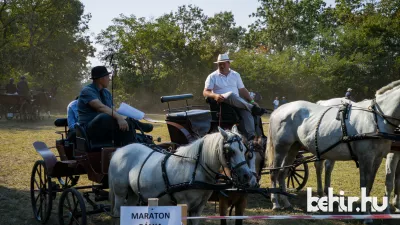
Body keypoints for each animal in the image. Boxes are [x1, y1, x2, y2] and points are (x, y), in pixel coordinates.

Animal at [108, 125, 258, 224]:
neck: (195, 172)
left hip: (133, 193)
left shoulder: (198, 209)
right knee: (117, 211)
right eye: (230, 151)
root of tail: (120, 150)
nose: (247, 176)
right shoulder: (182, 204)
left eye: (244, 150)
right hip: (120, 193)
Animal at [268, 80, 400, 221]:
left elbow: (371, 184)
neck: (377, 120)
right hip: (280, 148)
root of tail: (279, 109)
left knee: (284, 172)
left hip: (293, 147)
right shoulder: (366, 158)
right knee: (274, 172)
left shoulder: (378, 158)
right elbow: (365, 184)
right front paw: (367, 215)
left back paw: (286, 202)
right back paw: (276, 203)